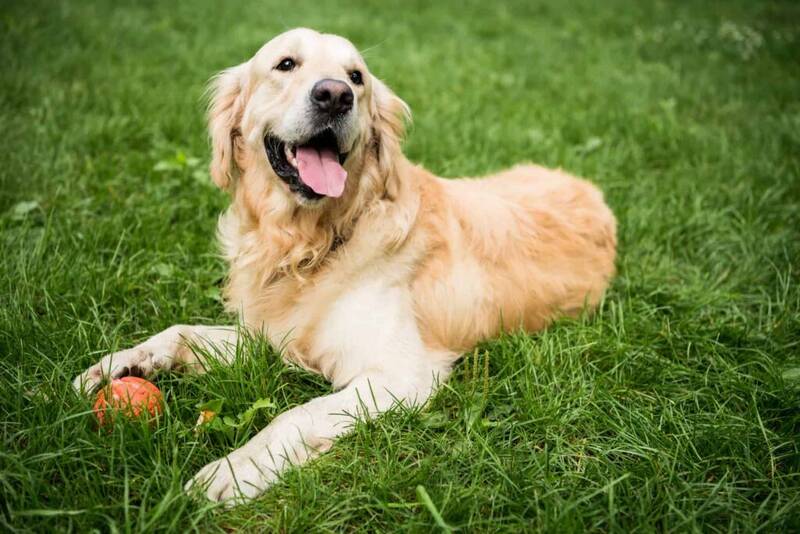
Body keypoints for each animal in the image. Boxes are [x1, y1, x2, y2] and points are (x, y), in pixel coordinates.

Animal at [70, 28, 620, 506]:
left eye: (356, 77)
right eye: (285, 64)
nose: (334, 96)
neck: (309, 244)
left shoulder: (400, 374)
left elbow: (295, 415)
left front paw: (234, 471)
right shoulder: (269, 335)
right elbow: (182, 331)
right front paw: (121, 363)